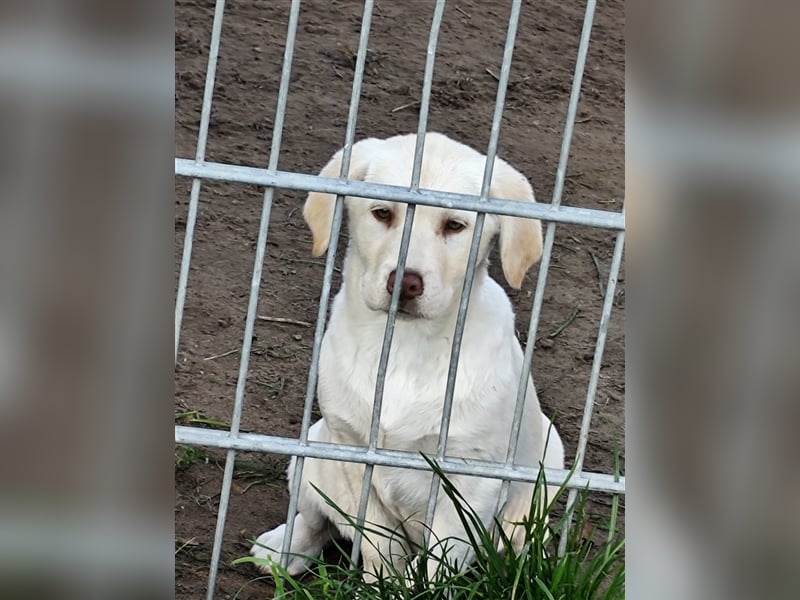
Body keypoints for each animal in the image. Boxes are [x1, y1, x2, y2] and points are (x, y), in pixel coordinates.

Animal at [250, 132, 564, 580]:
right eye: (383, 213)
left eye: (455, 225)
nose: (405, 282)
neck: (405, 343)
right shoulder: (352, 453)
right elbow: (379, 547)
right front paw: (378, 582)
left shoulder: (472, 479)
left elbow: (439, 562)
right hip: (314, 450)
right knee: (315, 520)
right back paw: (282, 548)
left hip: (547, 466)